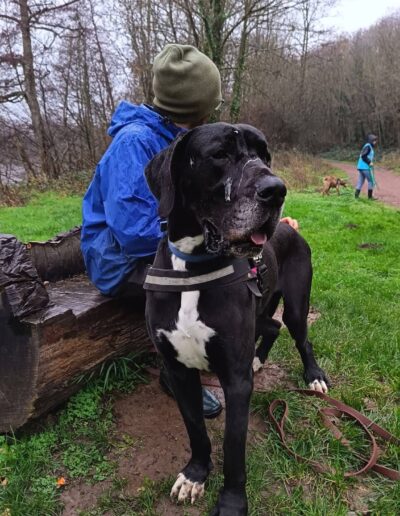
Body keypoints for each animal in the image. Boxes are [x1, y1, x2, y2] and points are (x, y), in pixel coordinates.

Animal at [144, 123, 329, 515]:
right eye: (220, 154)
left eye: (265, 154)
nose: (277, 190)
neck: (193, 267)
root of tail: (291, 229)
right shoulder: (178, 371)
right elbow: (196, 430)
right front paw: (195, 475)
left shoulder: (236, 380)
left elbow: (233, 448)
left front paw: (231, 503)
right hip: (259, 312)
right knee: (272, 326)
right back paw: (259, 359)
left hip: (296, 305)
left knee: (300, 336)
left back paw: (314, 376)